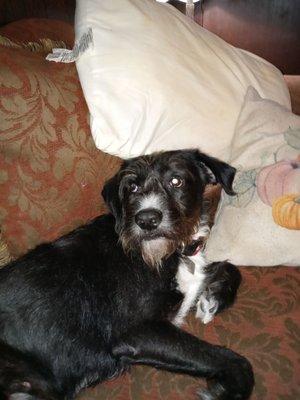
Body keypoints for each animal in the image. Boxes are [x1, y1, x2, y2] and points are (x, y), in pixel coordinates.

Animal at [0, 150, 254, 400]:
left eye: (176, 181)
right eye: (131, 186)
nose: (147, 220)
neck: (167, 252)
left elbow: (230, 268)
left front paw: (213, 298)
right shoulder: (137, 332)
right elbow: (230, 360)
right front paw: (226, 391)